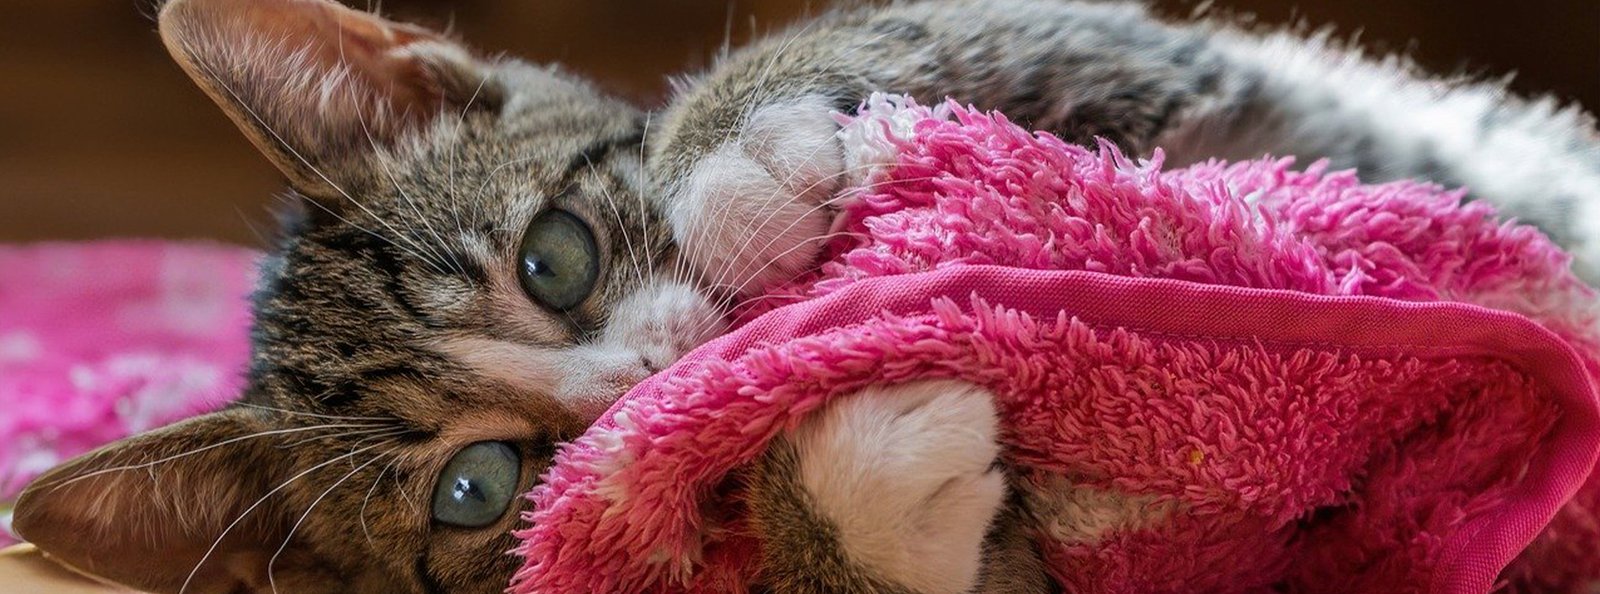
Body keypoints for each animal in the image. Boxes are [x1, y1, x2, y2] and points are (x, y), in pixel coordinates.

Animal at [12, 0, 1600, 592]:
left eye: (553, 259)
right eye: (476, 491)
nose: (632, 383)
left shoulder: (1128, 51)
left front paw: (733, 155)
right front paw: (850, 487)